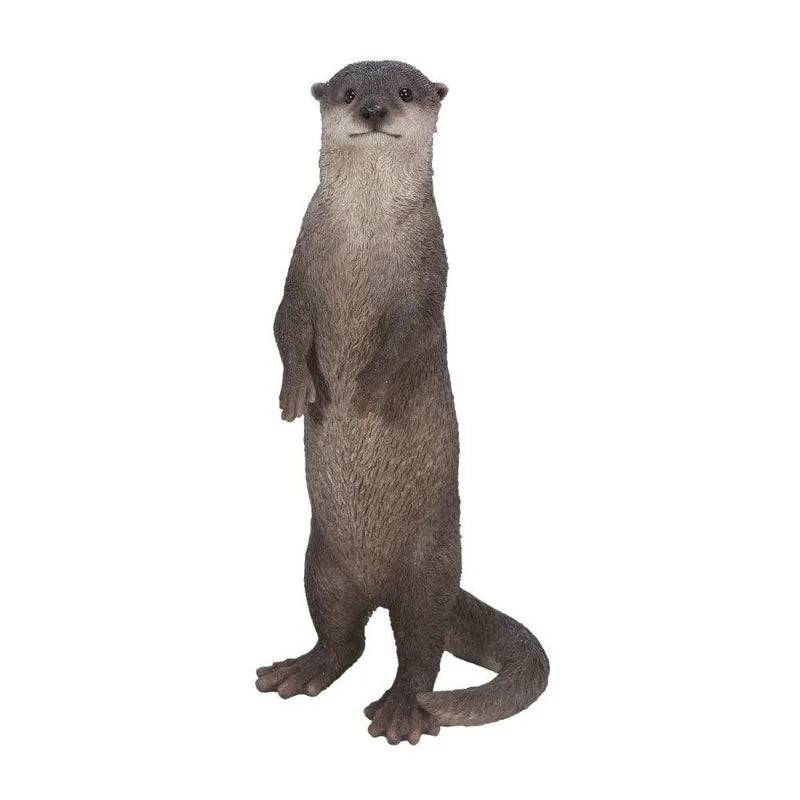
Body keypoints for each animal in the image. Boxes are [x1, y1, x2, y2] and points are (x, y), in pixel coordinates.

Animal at [255, 60, 548, 744]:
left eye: (406, 91)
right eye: (348, 92)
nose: (373, 110)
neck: (364, 243)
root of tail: (383, 584)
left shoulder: (426, 285)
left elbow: (404, 344)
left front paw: (362, 396)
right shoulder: (297, 271)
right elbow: (283, 326)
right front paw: (297, 394)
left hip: (430, 573)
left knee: (420, 649)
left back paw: (401, 709)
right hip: (321, 567)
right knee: (344, 638)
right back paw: (302, 670)